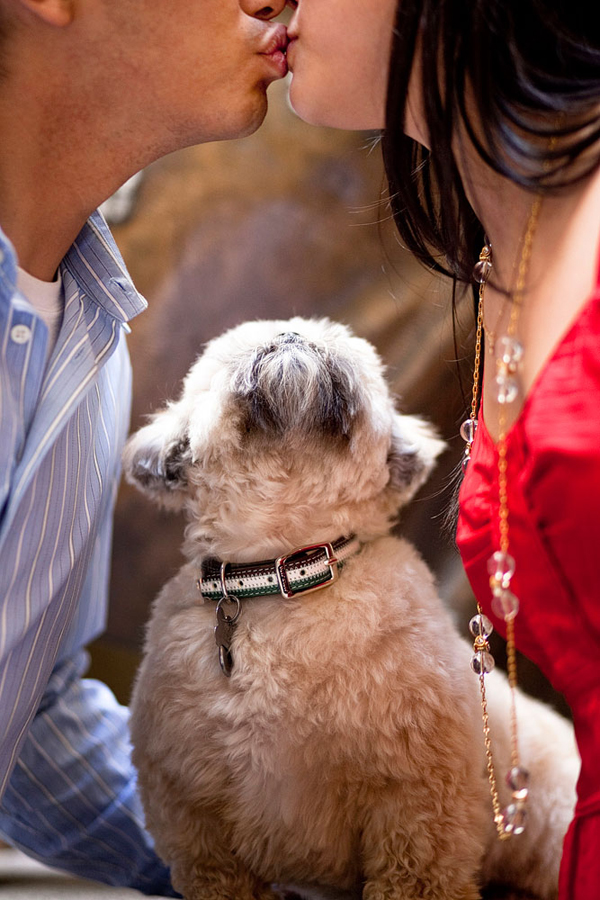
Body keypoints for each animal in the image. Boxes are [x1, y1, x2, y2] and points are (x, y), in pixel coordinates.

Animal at [124, 316, 580, 900]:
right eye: (241, 350)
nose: (292, 334)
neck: (285, 571)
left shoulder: (417, 813)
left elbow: (416, 875)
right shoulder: (199, 831)